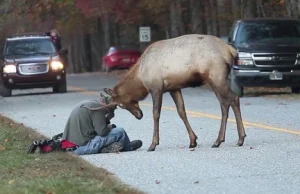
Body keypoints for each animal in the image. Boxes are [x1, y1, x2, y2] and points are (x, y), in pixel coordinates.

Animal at [102, 33, 245, 152]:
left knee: (233, 98)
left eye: (120, 104)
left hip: (216, 77)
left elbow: (156, 114)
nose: (139, 115)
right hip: (215, 80)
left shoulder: (156, 88)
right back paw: (220, 140)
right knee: (224, 103)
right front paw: (193, 141)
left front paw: (153, 144)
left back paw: (238, 139)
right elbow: (182, 112)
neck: (141, 79)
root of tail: (230, 50)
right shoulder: (174, 88)